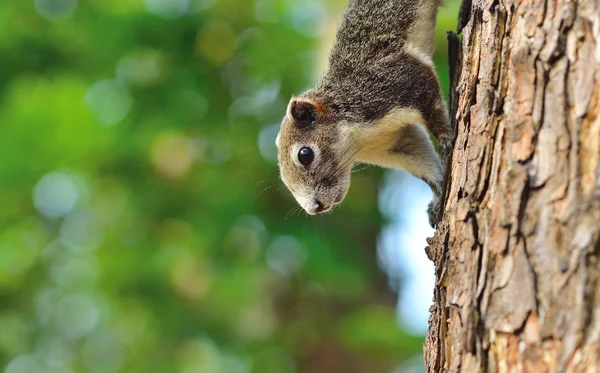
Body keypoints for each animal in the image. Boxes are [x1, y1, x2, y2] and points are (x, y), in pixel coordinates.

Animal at [276, 0, 454, 227]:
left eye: (304, 154)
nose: (314, 208)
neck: (360, 139)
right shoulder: (395, 144)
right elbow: (423, 163)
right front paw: (438, 196)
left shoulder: (394, 83)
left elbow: (434, 110)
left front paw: (446, 140)